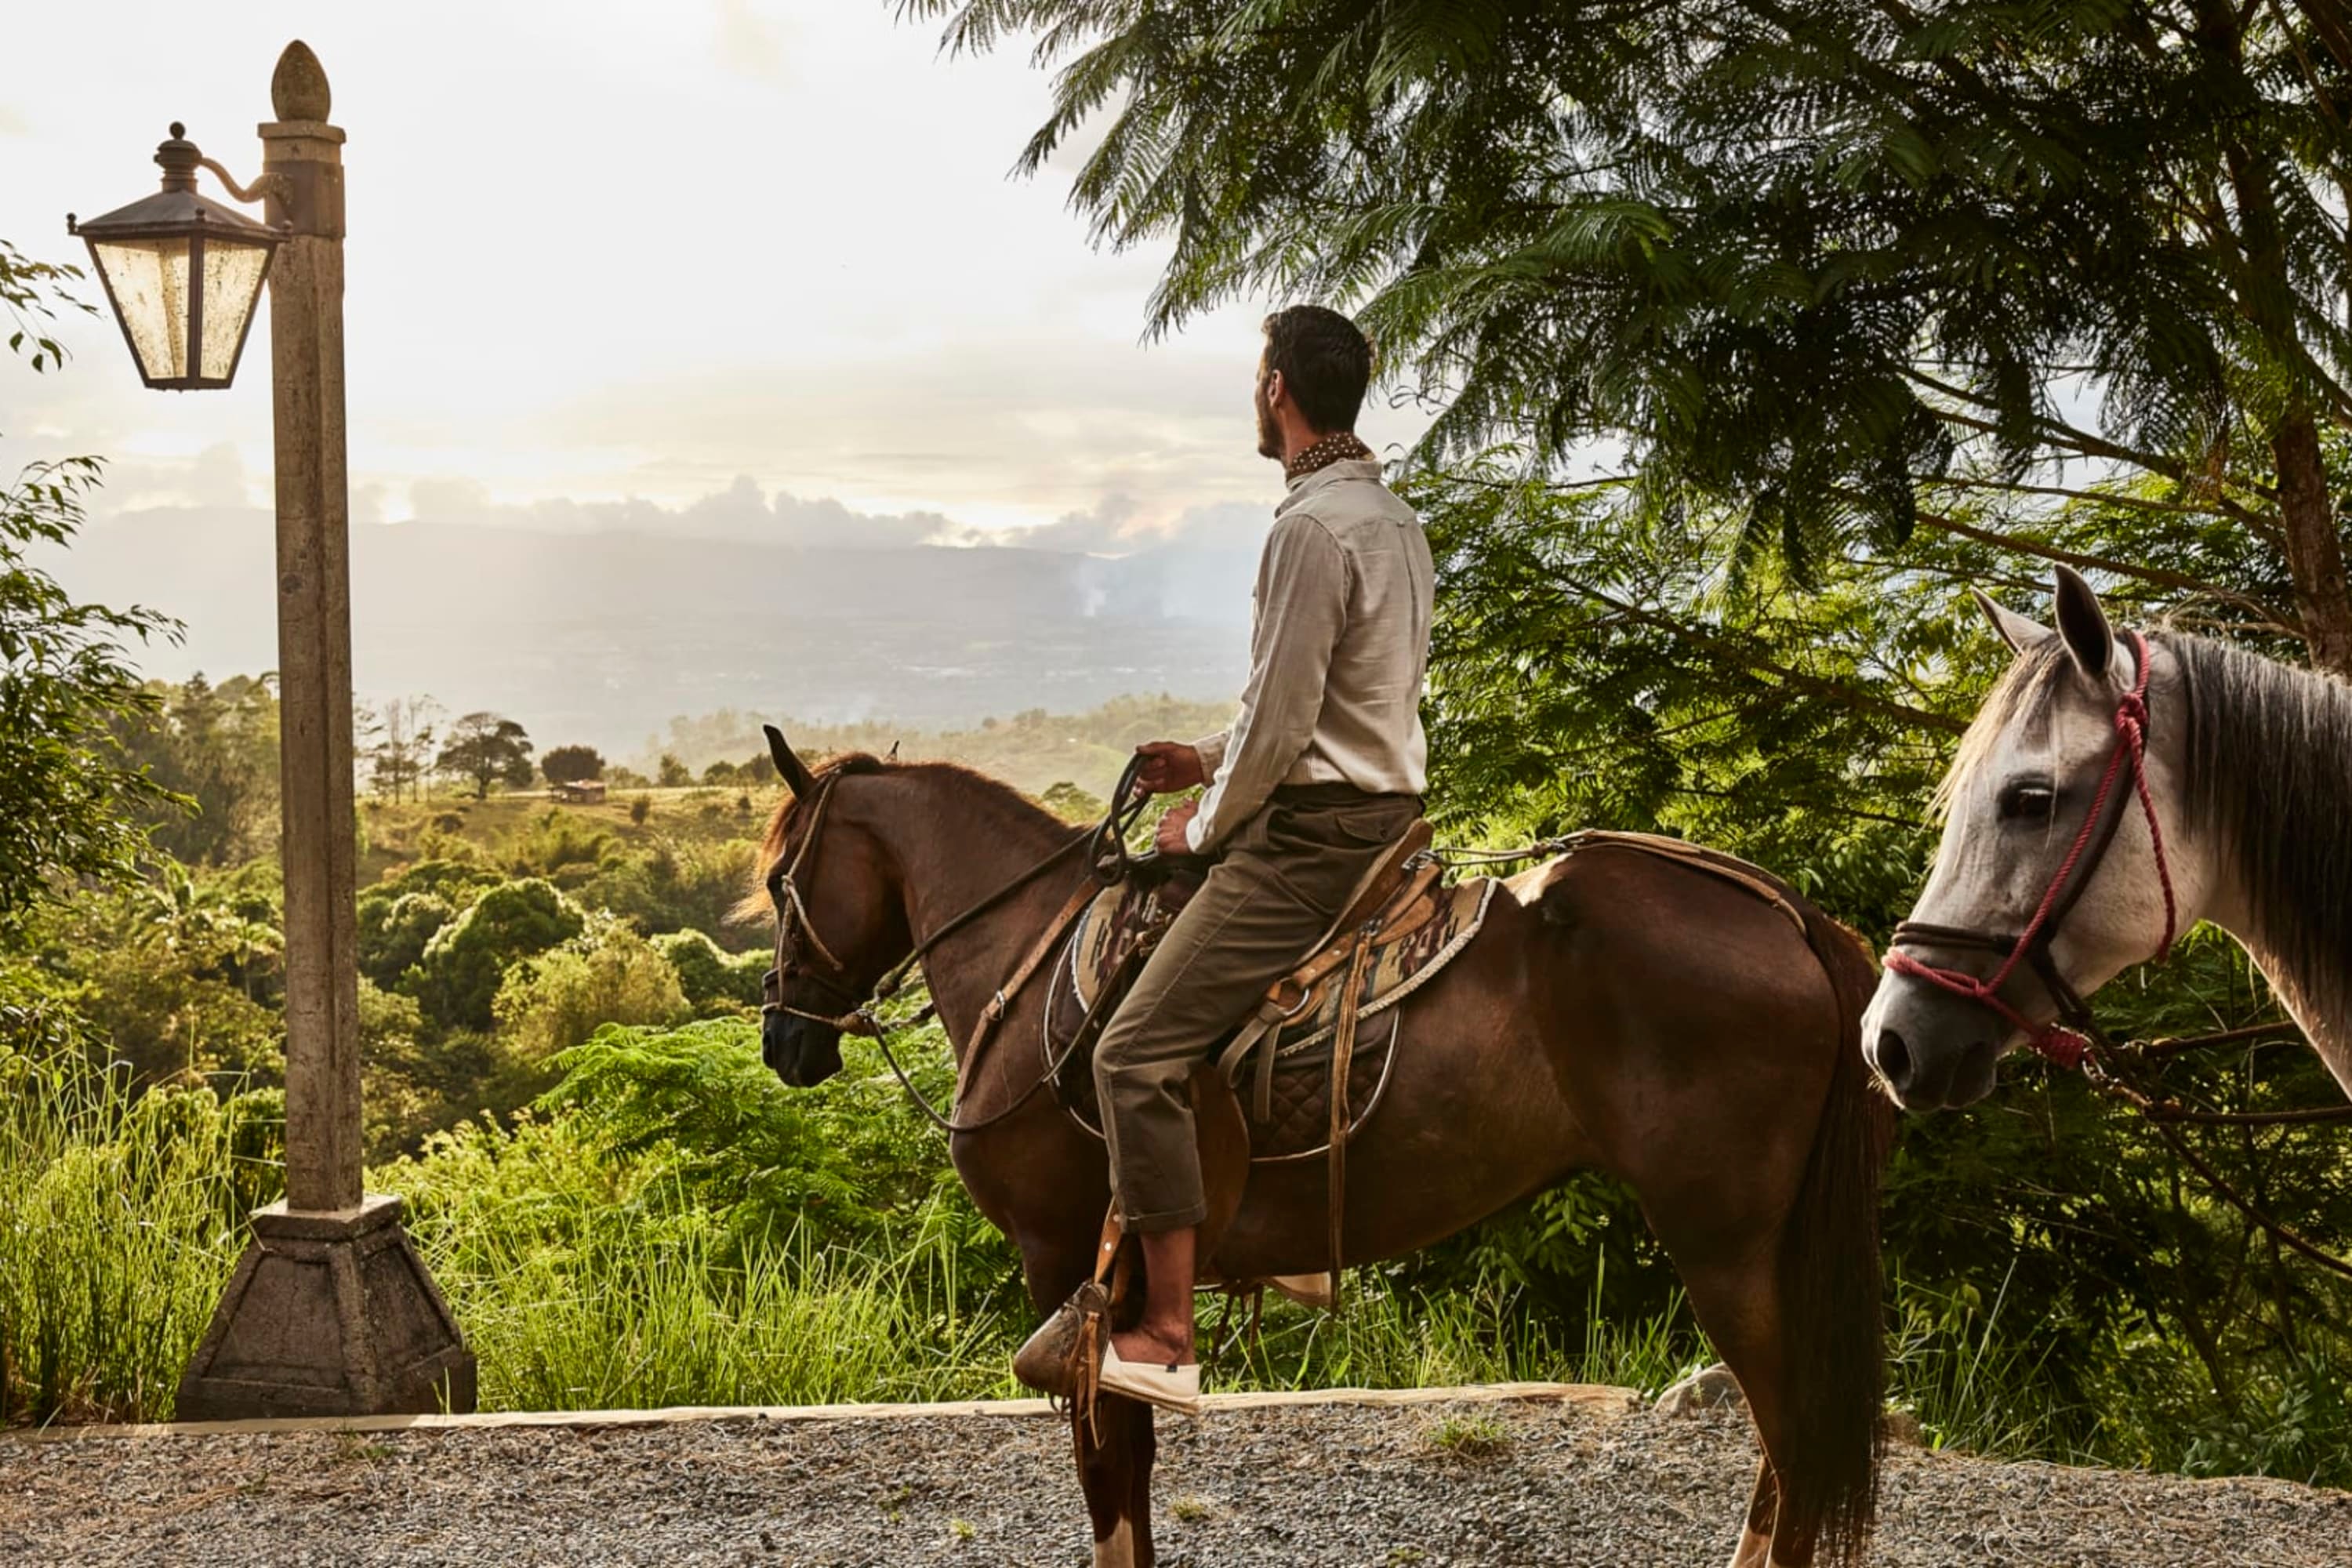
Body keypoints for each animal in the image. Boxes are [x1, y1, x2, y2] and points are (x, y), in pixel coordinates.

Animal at [753, 738, 1891, 1568]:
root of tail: (1793, 916)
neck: (1032, 958)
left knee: (1795, 1439)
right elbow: (1135, 1468)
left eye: (776, 882)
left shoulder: (1065, 1261)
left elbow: (1107, 1473)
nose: (783, 1040)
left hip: (1723, 1247)